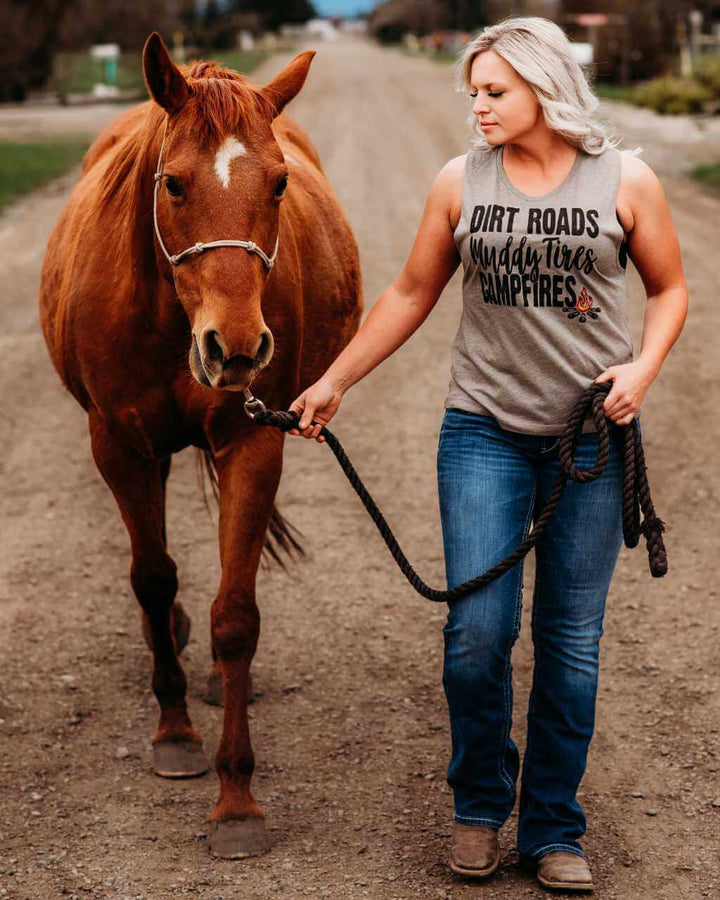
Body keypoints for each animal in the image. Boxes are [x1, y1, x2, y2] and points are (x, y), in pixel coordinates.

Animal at [37, 33, 362, 856]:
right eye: (175, 185)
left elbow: (236, 615)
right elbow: (153, 579)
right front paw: (175, 732)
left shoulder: (252, 440)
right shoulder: (118, 445)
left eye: (279, 183)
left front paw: (237, 797)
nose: (237, 347)